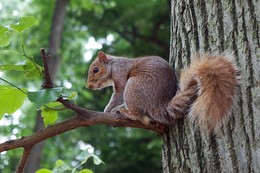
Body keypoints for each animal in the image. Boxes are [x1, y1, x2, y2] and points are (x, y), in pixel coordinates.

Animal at [86, 50, 239, 130]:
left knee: (140, 114)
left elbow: (118, 95)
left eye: (95, 69)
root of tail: (158, 106)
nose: (89, 86)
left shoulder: (121, 75)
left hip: (133, 86)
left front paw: (107, 109)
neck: (114, 65)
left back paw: (126, 112)